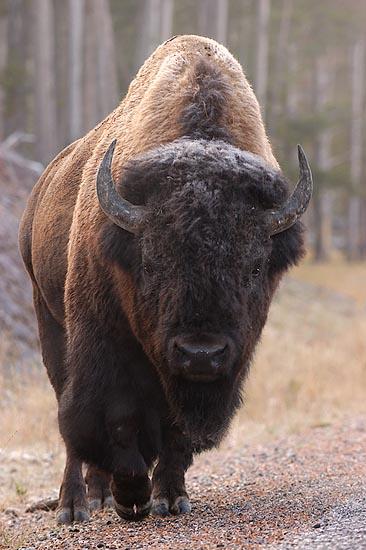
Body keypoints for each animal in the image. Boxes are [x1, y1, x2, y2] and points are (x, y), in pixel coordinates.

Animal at [19, 36, 312, 524]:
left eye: (254, 267)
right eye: (152, 262)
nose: (200, 353)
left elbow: (176, 432)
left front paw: (169, 497)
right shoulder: (104, 344)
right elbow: (114, 419)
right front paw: (131, 496)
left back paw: (102, 495)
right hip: (49, 320)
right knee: (69, 414)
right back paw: (77, 504)